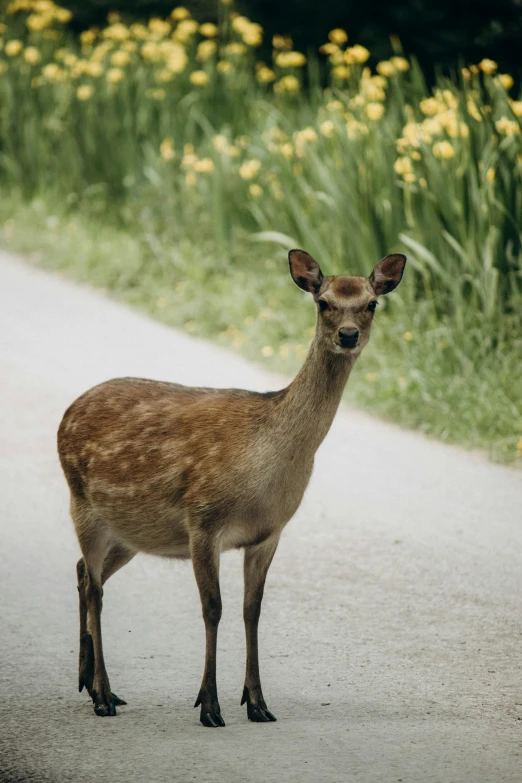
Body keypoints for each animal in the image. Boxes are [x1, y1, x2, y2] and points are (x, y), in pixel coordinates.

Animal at [58, 250, 406, 728]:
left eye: (371, 303)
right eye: (324, 302)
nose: (349, 335)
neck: (266, 461)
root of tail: (67, 413)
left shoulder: (268, 533)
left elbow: (251, 610)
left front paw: (257, 703)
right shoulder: (203, 519)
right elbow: (213, 608)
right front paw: (209, 706)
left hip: (131, 533)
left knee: (81, 571)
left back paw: (88, 682)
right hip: (82, 503)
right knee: (95, 588)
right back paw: (104, 694)